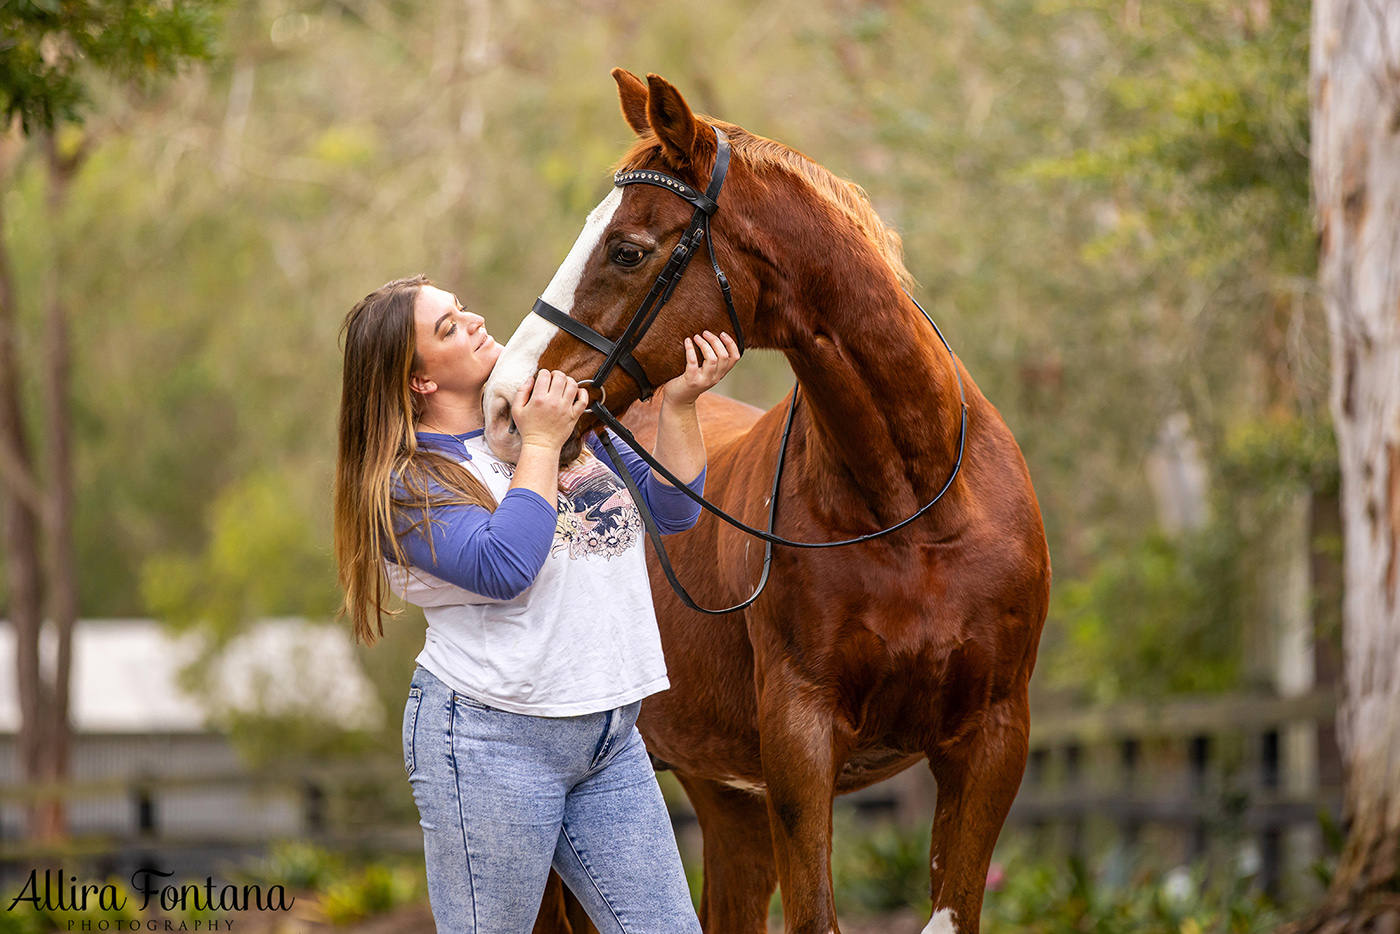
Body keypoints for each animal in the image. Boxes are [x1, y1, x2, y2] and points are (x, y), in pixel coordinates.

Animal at [481, 67, 1052, 934]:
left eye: (627, 249)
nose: (506, 404)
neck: (913, 509)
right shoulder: (799, 741)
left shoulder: (991, 740)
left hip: (726, 797)